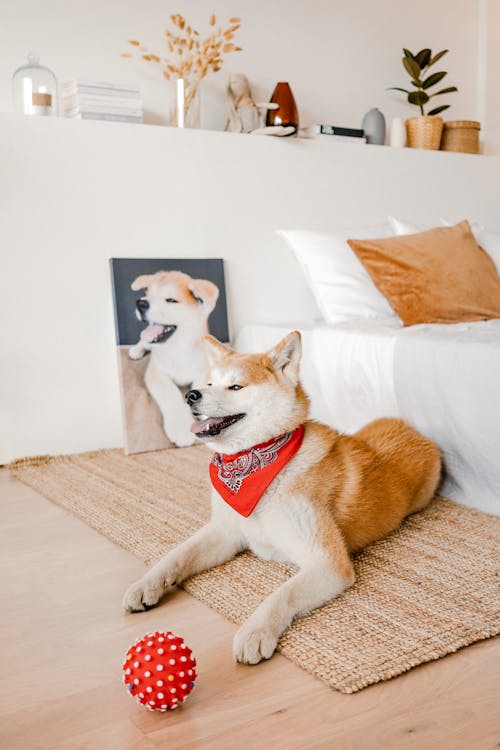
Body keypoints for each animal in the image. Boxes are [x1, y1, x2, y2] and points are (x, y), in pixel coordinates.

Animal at [122, 332, 442, 668]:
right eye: (209, 383)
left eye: (236, 387)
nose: (192, 396)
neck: (255, 463)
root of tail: (415, 430)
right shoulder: (225, 533)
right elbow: (176, 555)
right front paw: (146, 585)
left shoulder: (327, 563)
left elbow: (281, 595)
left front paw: (255, 632)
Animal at [130, 270, 220, 446]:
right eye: (148, 294)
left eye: (171, 300)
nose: (141, 303)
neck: (178, 350)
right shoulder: (155, 372)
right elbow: (170, 393)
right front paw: (181, 429)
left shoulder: (203, 372)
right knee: (144, 341)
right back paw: (136, 350)